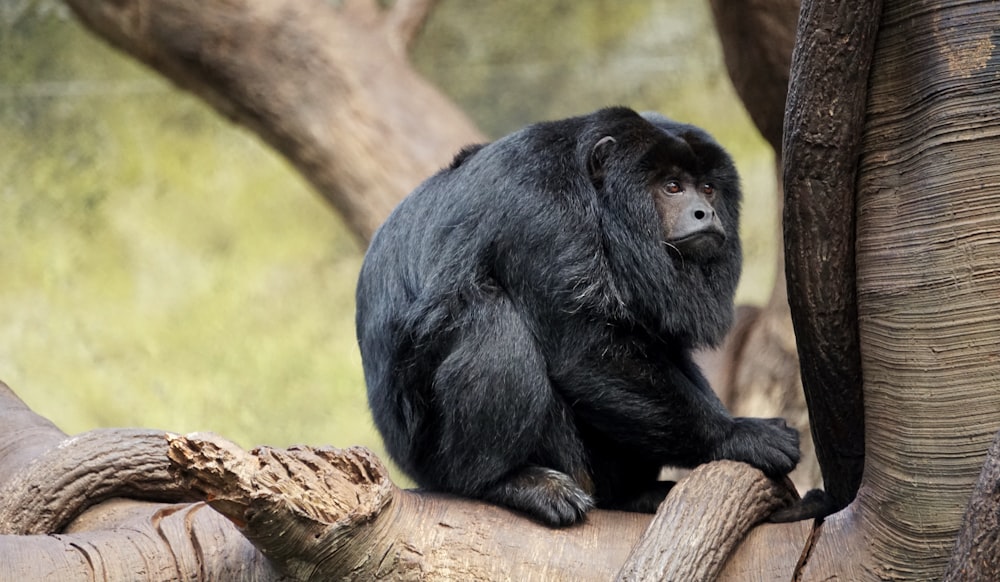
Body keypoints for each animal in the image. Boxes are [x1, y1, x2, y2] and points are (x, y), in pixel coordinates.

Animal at [356, 106, 800, 528]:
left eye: (708, 187)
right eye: (672, 186)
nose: (705, 212)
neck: (596, 199)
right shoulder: (539, 212)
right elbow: (583, 354)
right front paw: (736, 434)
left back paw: (630, 494)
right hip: (435, 459)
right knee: (493, 322)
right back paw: (503, 481)